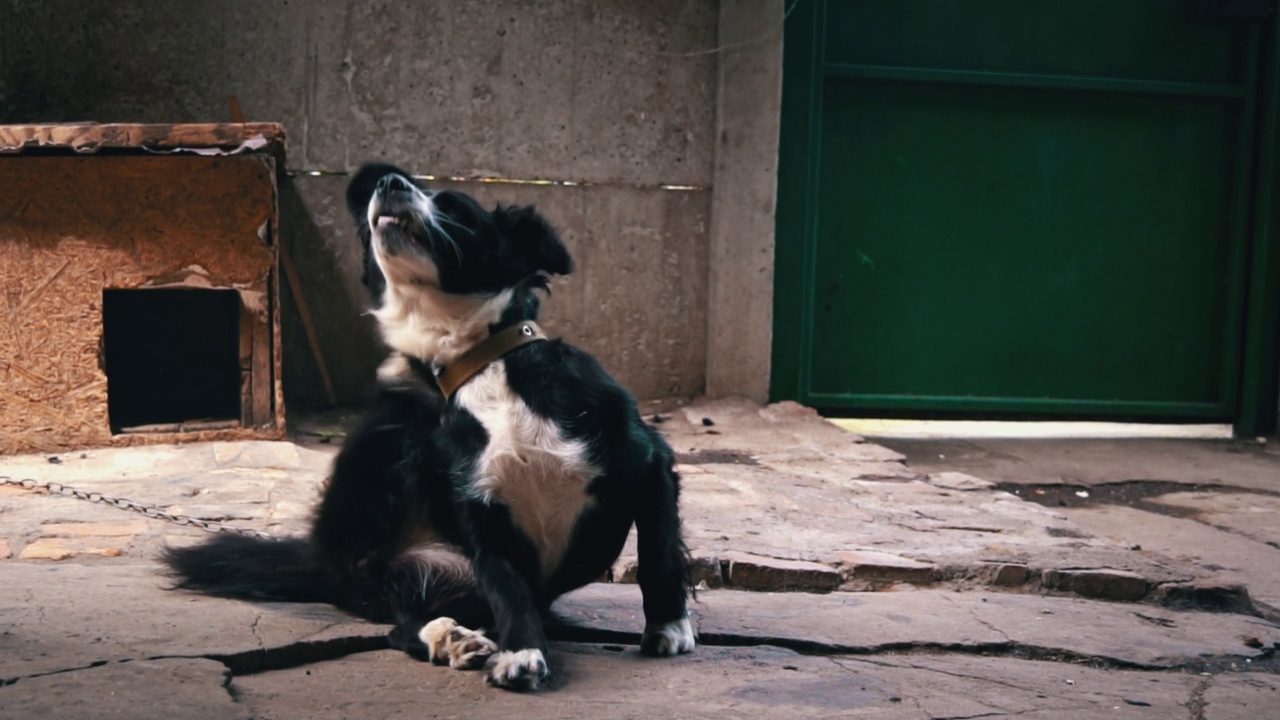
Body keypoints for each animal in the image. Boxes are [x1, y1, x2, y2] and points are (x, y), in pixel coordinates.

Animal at [167, 162, 701, 691]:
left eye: (455, 208)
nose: (387, 182)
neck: (482, 360)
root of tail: (321, 561)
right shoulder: (482, 512)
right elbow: (508, 588)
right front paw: (521, 652)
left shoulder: (649, 460)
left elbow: (657, 551)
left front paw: (669, 626)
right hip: (394, 457)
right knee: (401, 623)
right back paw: (452, 639)